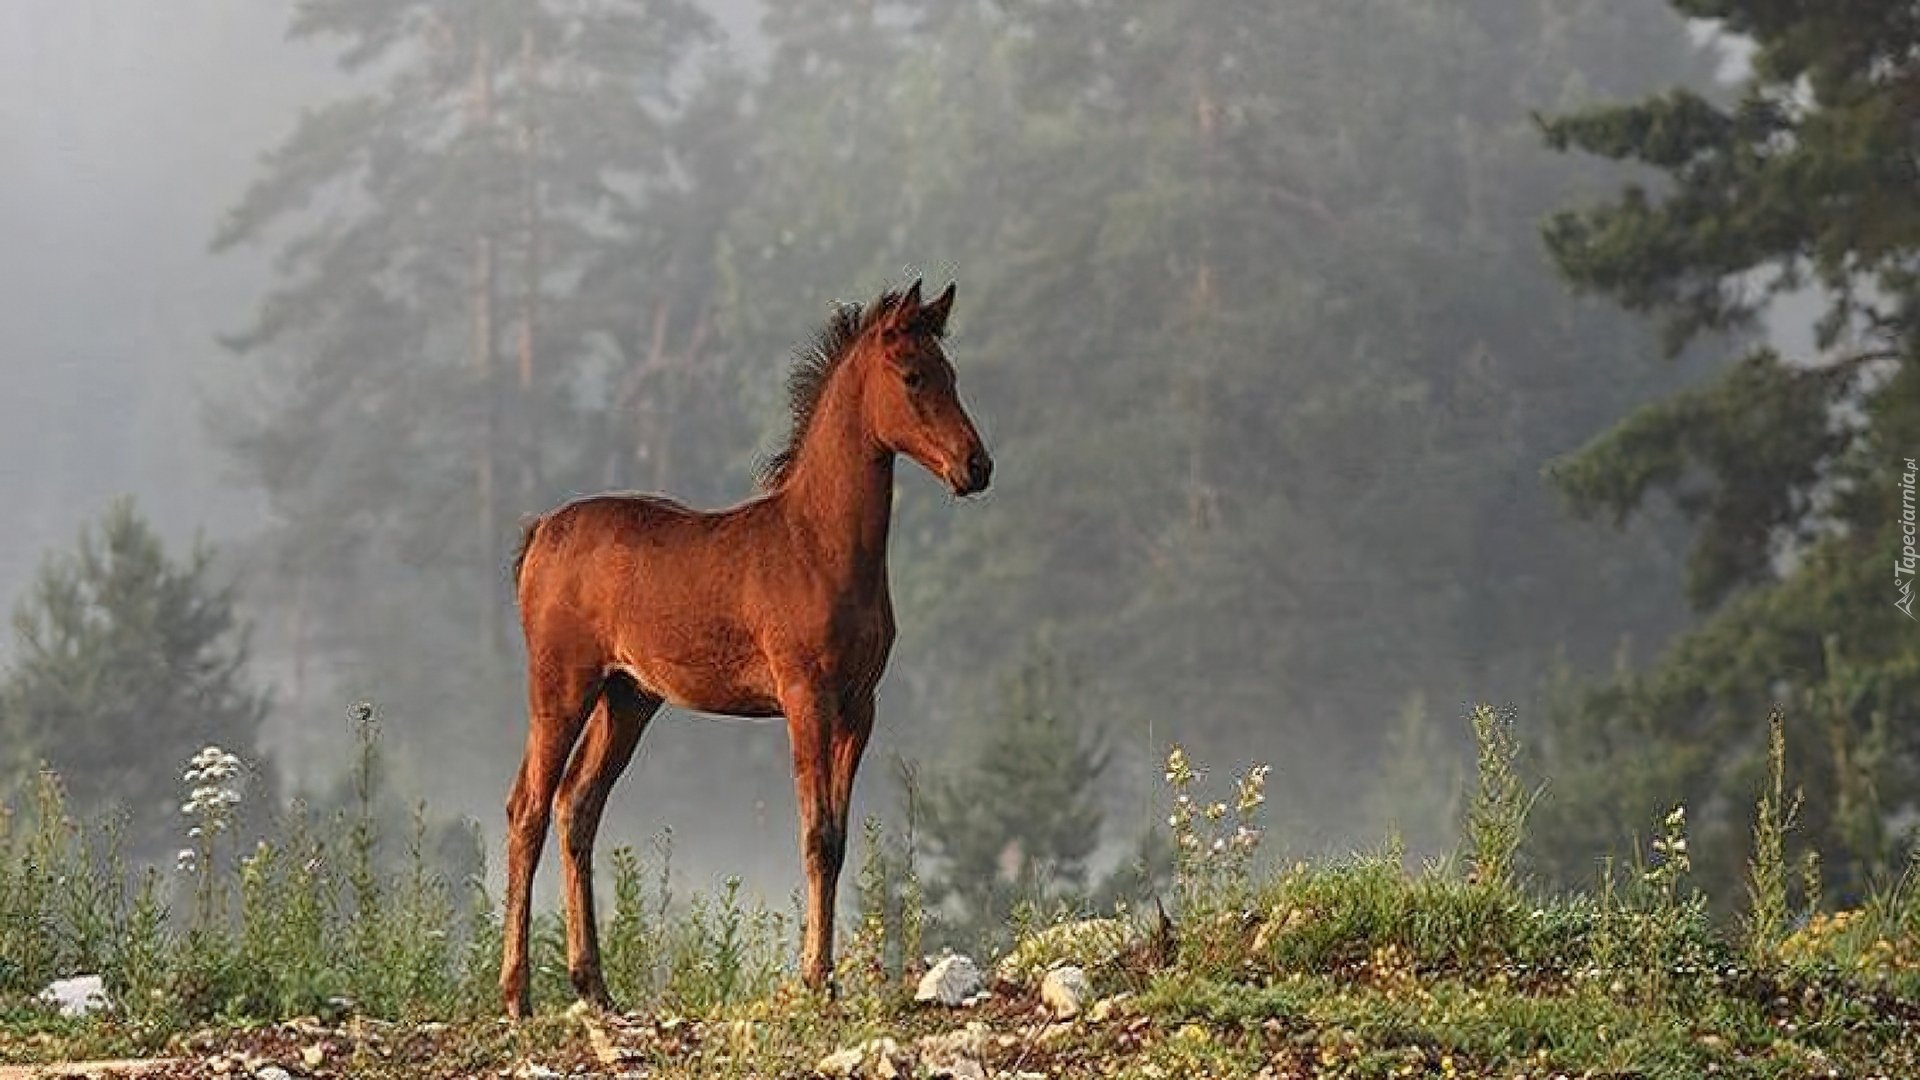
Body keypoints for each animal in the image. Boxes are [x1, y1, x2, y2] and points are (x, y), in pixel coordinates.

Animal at [495, 278, 990, 1014]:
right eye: (912, 375)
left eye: (951, 373)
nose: (976, 466)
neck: (817, 544)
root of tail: (540, 535)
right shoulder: (805, 696)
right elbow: (815, 833)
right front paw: (815, 978)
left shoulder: (860, 706)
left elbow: (839, 840)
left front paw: (826, 978)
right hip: (562, 688)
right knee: (527, 809)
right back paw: (517, 995)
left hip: (627, 699)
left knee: (576, 808)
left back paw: (596, 988)